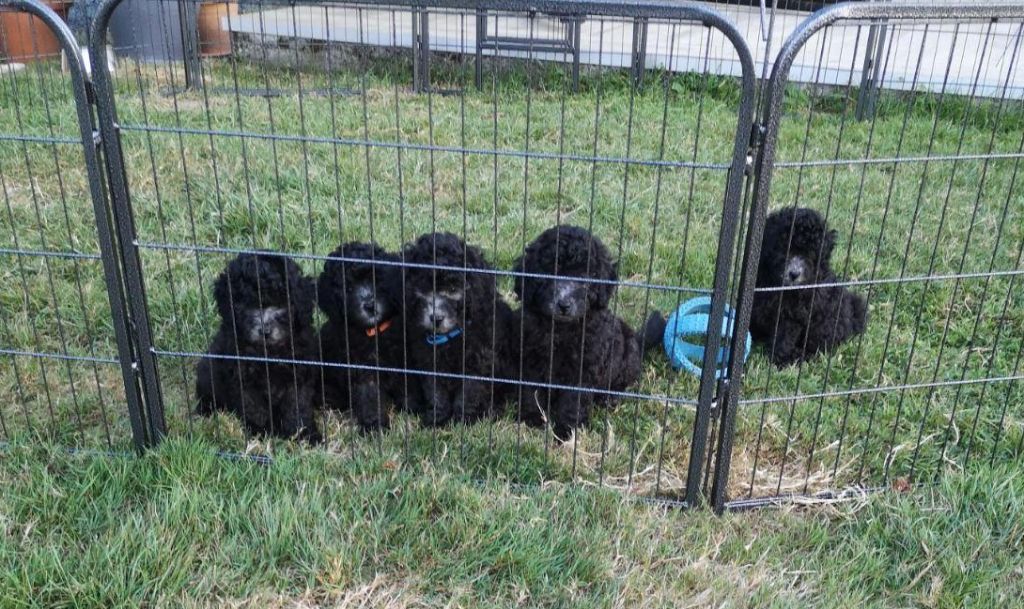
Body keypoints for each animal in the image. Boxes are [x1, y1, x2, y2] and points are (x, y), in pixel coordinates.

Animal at [192, 251, 319, 444]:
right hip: (208, 373)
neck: (269, 353)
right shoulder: (242, 377)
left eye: (281, 303)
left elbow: (298, 405)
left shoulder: (299, 371)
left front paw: (305, 435)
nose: (265, 331)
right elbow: (254, 408)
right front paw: (262, 432)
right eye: (246, 305)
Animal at [315, 240, 407, 431]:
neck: (373, 332)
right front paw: (375, 426)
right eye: (348, 289)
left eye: (375, 279)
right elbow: (369, 397)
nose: (370, 305)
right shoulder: (363, 370)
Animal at [399, 231, 512, 425]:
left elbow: (468, 392)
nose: (436, 318)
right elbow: (435, 392)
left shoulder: (477, 361)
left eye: (453, 289)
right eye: (424, 288)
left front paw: (462, 420)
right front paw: (436, 418)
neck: (449, 337)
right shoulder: (428, 360)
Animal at [509, 226, 663, 440]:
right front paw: (531, 418)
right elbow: (531, 391)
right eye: (550, 272)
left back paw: (608, 398)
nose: (564, 305)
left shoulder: (583, 370)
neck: (561, 330)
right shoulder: (530, 359)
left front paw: (566, 431)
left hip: (628, 353)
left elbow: (572, 402)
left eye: (584, 277)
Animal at [753, 207, 864, 366]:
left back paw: (798, 357)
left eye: (810, 255)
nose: (794, 274)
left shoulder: (794, 315)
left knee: (817, 348)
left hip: (824, 326)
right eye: (785, 249)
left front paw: (777, 360)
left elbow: (784, 337)